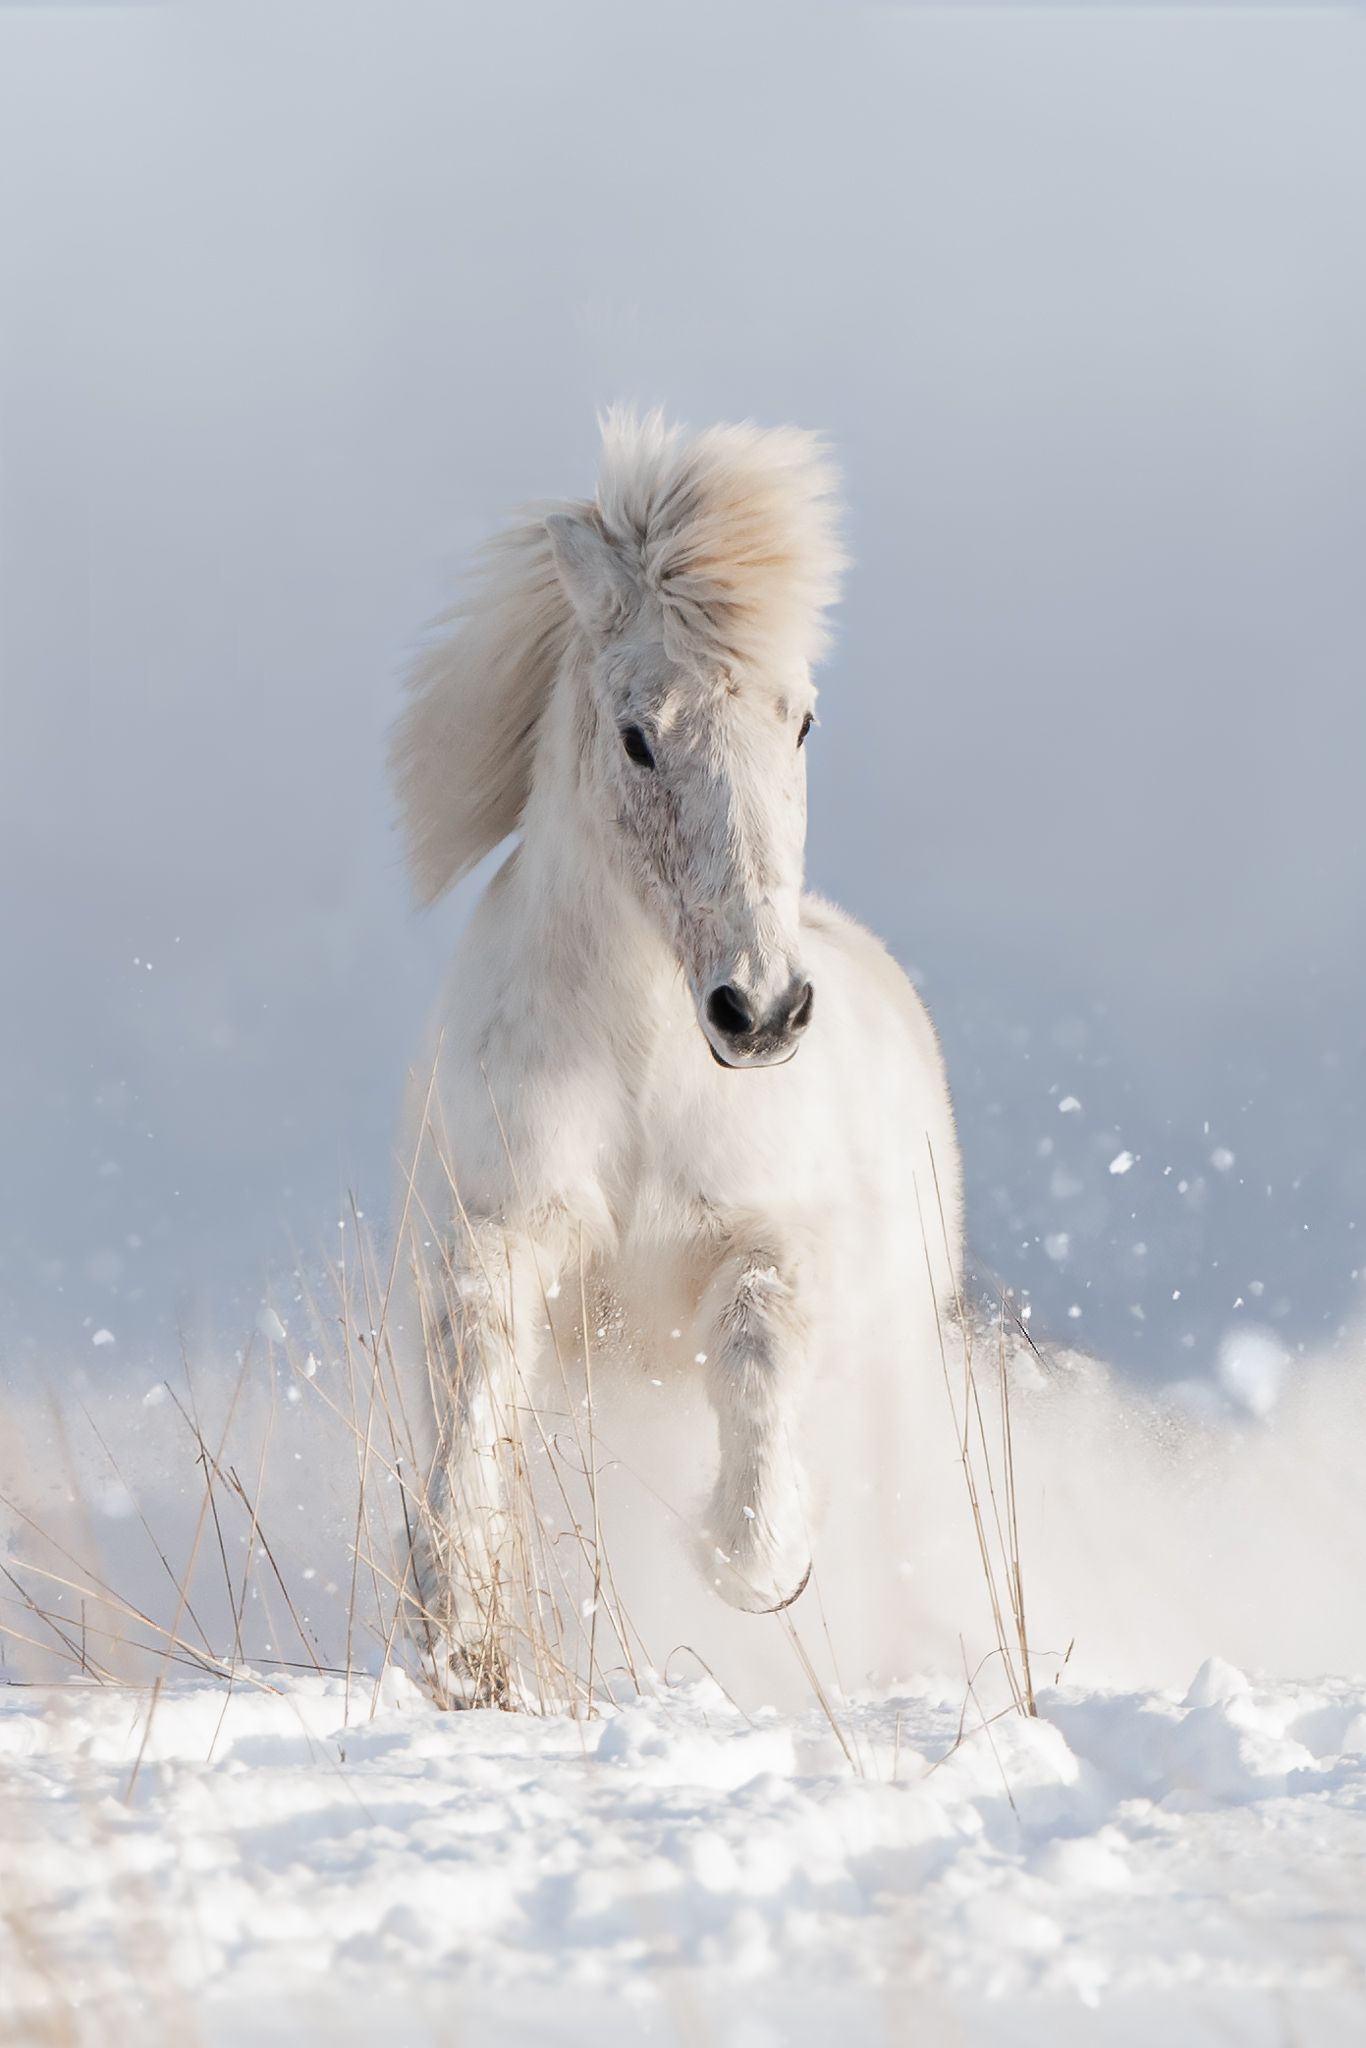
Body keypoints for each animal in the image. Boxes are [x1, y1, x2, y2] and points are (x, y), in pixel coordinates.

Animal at [389, 409, 963, 1705]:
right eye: (637, 735)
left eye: (801, 718)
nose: (760, 1011)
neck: (642, 1072)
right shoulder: (510, 1226)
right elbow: (477, 1374)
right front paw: (461, 1631)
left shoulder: (769, 1240)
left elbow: (754, 1346)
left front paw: (755, 1557)